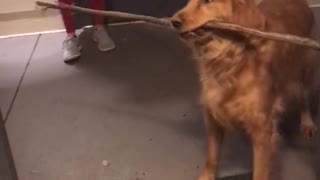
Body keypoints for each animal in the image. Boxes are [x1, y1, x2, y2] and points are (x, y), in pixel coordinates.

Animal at [171, 0, 316, 179]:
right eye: (188, 2)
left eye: (207, 2)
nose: (173, 21)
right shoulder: (212, 115)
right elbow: (211, 157)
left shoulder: (263, 129)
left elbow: (260, 171)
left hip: (305, 70)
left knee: (304, 97)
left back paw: (307, 123)